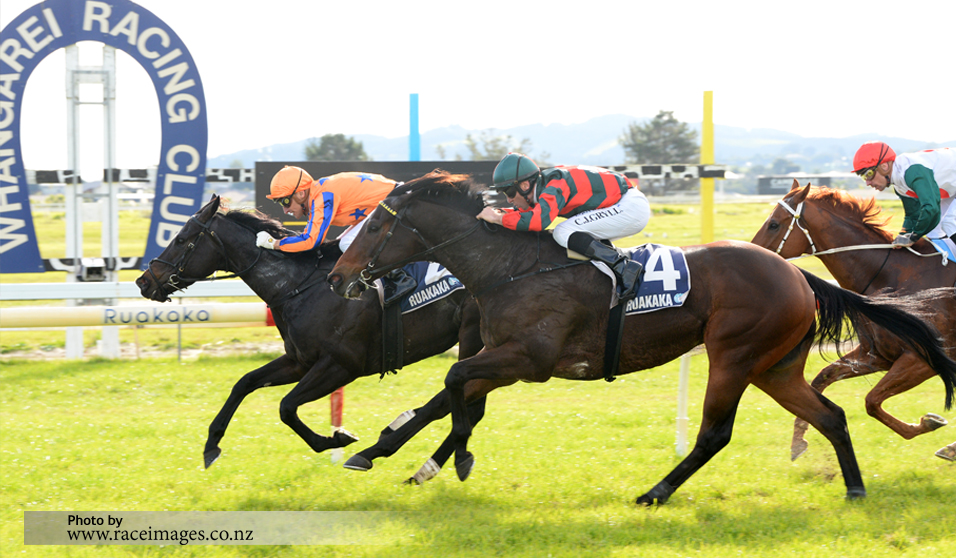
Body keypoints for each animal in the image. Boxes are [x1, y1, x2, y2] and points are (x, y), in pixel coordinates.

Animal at [134, 195, 486, 470]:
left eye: (182, 239)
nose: (143, 281)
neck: (298, 285)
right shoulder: (299, 361)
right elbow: (244, 383)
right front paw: (211, 444)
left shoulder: (341, 365)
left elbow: (286, 407)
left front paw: (336, 438)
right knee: (468, 406)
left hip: (473, 336)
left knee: (461, 403)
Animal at [756, 182, 956, 462]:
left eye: (774, 224)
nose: (751, 251)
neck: (889, 276)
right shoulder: (876, 355)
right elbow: (822, 378)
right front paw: (798, 441)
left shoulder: (922, 360)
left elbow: (871, 401)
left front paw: (929, 423)